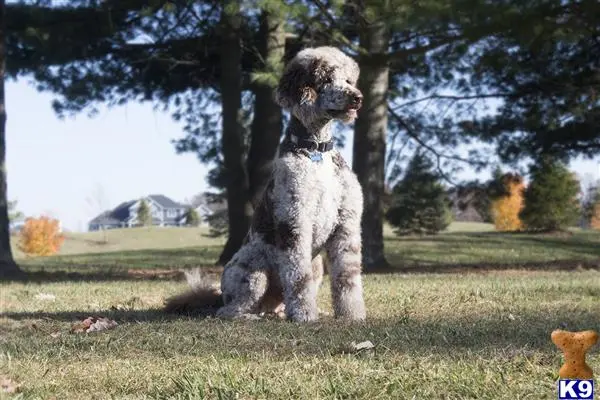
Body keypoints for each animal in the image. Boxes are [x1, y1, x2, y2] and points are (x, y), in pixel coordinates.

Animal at [166, 47, 368, 322]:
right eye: (326, 79)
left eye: (348, 80)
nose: (357, 97)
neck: (316, 151)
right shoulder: (294, 221)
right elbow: (298, 277)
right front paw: (304, 315)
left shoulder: (346, 224)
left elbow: (348, 276)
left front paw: (352, 314)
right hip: (253, 273)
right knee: (228, 310)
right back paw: (253, 316)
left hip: (316, 267)